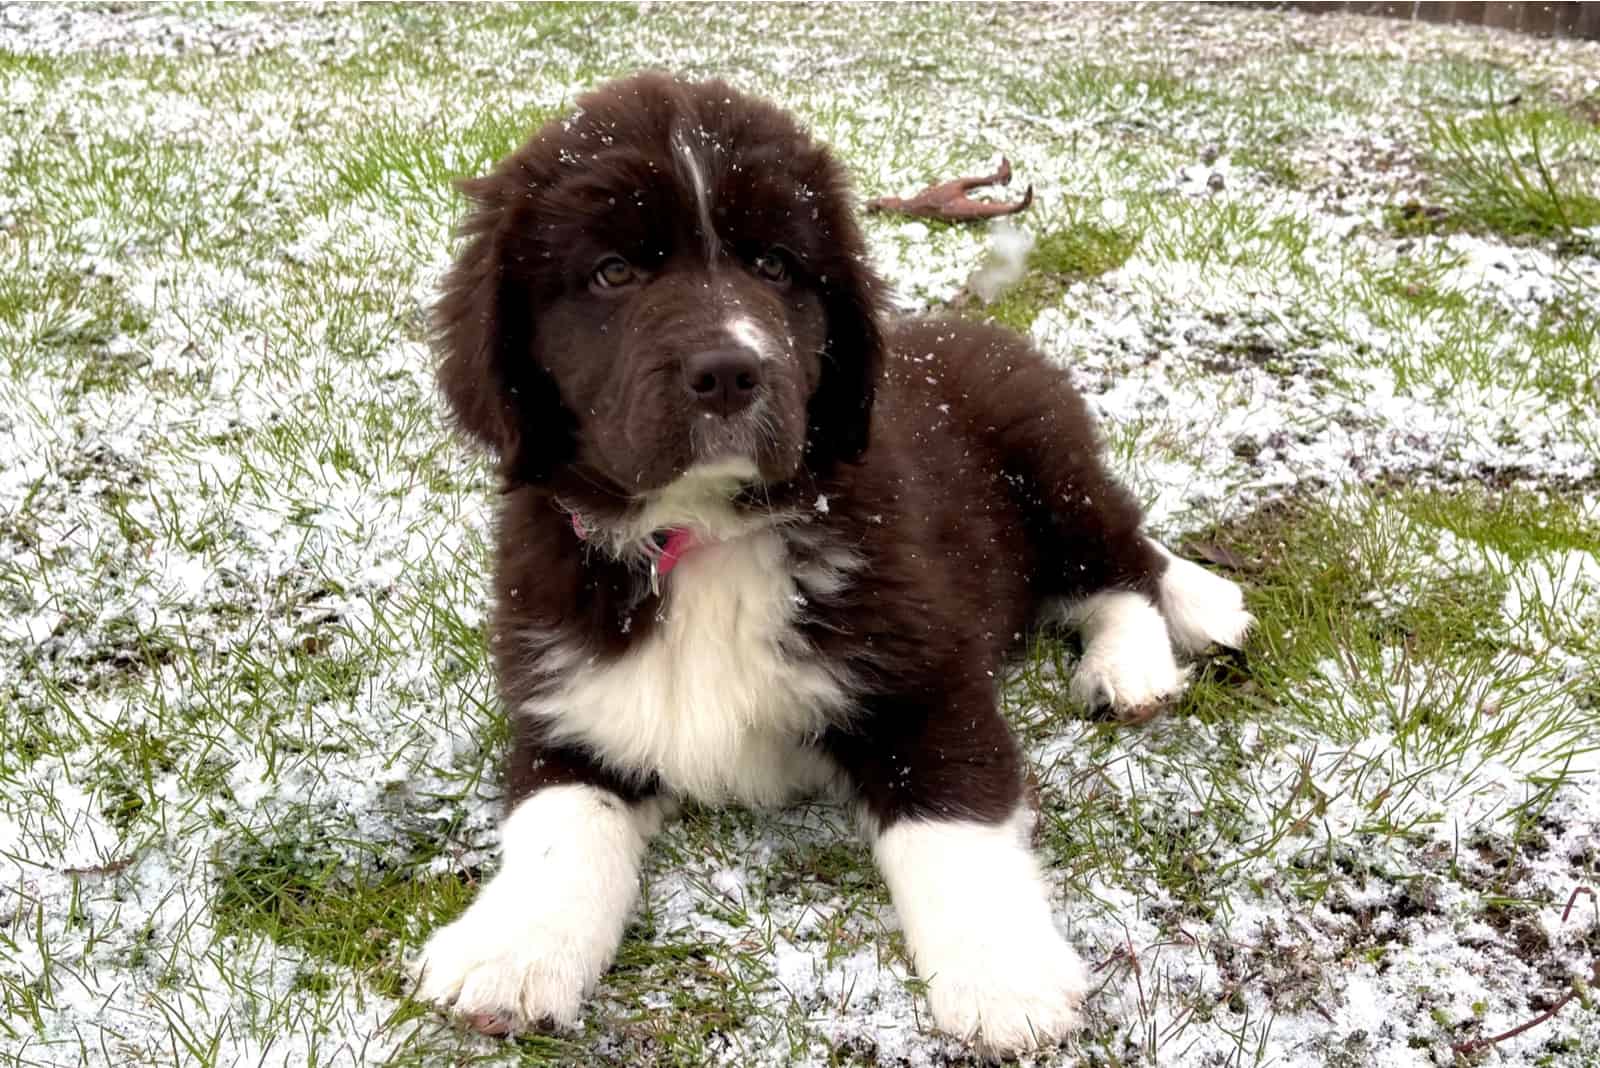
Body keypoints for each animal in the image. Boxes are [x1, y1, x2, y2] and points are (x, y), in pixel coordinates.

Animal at [409, 75, 1248, 1061]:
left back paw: (1149, 651)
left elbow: (954, 823)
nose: (730, 373)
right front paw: (508, 953)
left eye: (777, 266)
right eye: (614, 272)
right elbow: (557, 825)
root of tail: (983, 333)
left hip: (1050, 467)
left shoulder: (926, 677)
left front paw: (1003, 979)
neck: (707, 534)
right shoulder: (568, 699)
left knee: (1125, 559)